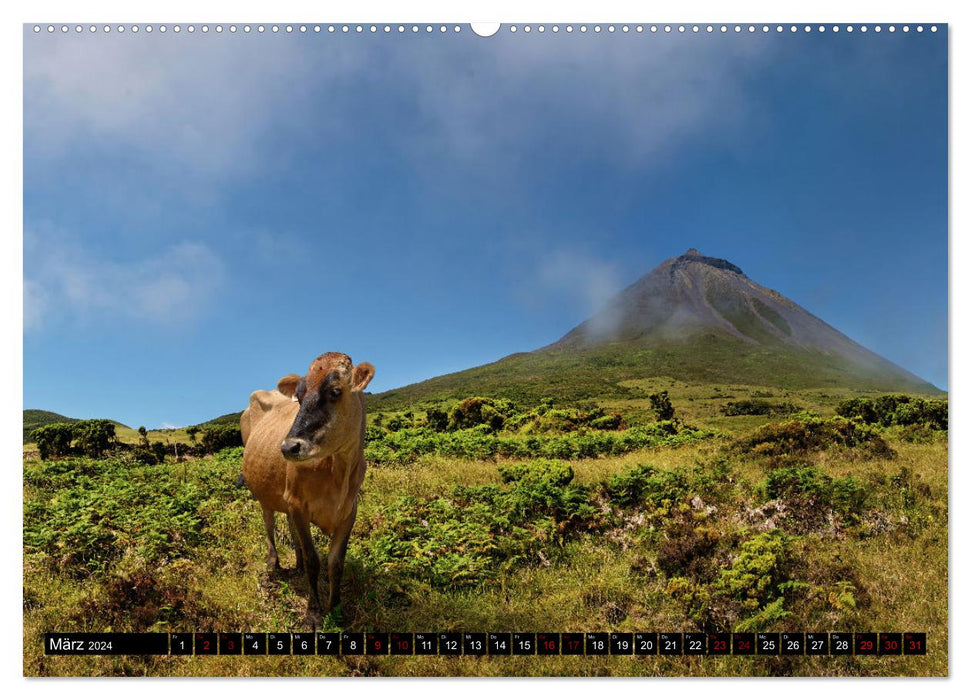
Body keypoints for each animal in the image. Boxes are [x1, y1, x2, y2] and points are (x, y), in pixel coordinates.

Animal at [242, 350, 376, 624]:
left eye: (335, 391)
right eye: (300, 397)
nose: (288, 447)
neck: (338, 470)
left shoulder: (349, 511)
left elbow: (336, 563)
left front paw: (336, 609)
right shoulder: (298, 505)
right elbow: (315, 560)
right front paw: (313, 612)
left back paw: (298, 563)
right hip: (264, 494)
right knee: (269, 521)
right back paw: (274, 562)